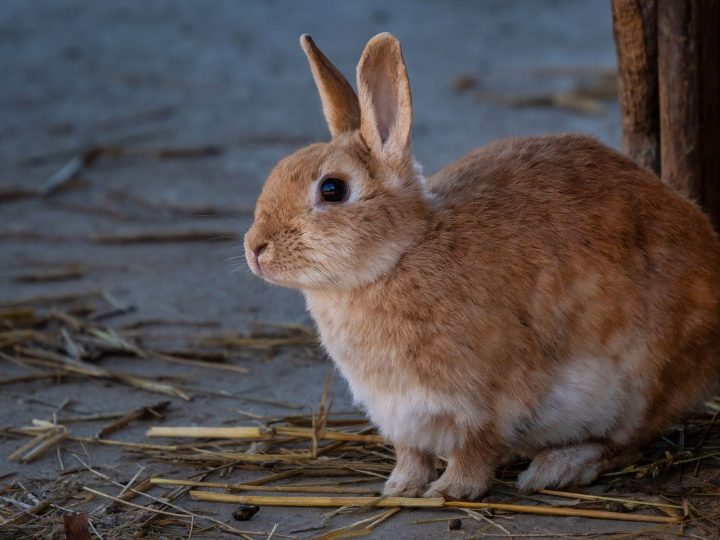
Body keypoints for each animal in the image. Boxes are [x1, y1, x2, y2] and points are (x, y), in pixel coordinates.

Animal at [244, 32, 720, 500]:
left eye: (332, 189)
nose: (255, 248)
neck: (399, 255)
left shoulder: (482, 403)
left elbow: (473, 450)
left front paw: (450, 490)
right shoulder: (399, 413)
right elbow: (410, 453)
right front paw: (399, 488)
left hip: (639, 385)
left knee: (625, 443)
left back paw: (556, 468)